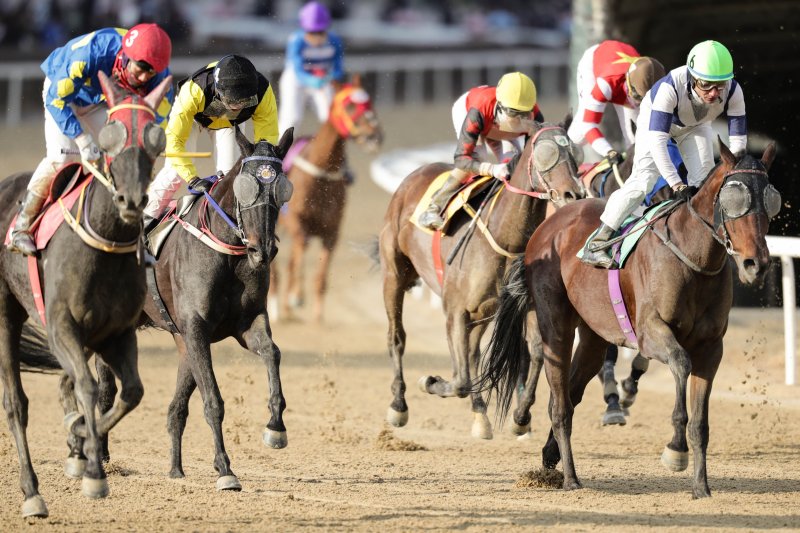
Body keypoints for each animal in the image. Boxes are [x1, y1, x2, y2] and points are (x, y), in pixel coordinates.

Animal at [1, 71, 172, 516]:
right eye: (110, 138)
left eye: (155, 141)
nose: (131, 200)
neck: (105, 242)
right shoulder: (62, 325)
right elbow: (89, 388)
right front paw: (93, 472)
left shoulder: (117, 333)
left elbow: (131, 392)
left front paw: (79, 436)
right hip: (6, 314)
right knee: (15, 403)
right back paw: (31, 493)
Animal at [268, 77, 382, 322]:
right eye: (350, 106)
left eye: (369, 102)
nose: (374, 137)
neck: (321, 174)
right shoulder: (298, 224)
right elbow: (299, 254)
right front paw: (297, 295)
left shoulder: (332, 231)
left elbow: (320, 276)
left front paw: (317, 313)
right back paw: (276, 306)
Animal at [376, 118, 588, 438]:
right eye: (546, 153)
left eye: (575, 152)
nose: (573, 195)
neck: (504, 237)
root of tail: (412, 177)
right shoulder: (454, 310)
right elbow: (460, 379)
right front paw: (431, 382)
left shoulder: (525, 305)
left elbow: (537, 353)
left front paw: (520, 417)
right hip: (394, 273)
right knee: (396, 337)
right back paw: (398, 405)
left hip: (483, 311)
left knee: (474, 352)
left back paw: (480, 414)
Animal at [482, 139, 780, 496]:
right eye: (735, 198)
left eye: (771, 201)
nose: (756, 263)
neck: (693, 256)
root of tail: (547, 227)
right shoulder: (651, 333)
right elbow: (681, 363)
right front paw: (675, 449)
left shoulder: (711, 347)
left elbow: (701, 423)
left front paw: (701, 487)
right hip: (556, 325)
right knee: (559, 402)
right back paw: (570, 477)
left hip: (594, 338)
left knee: (572, 392)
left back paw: (550, 457)